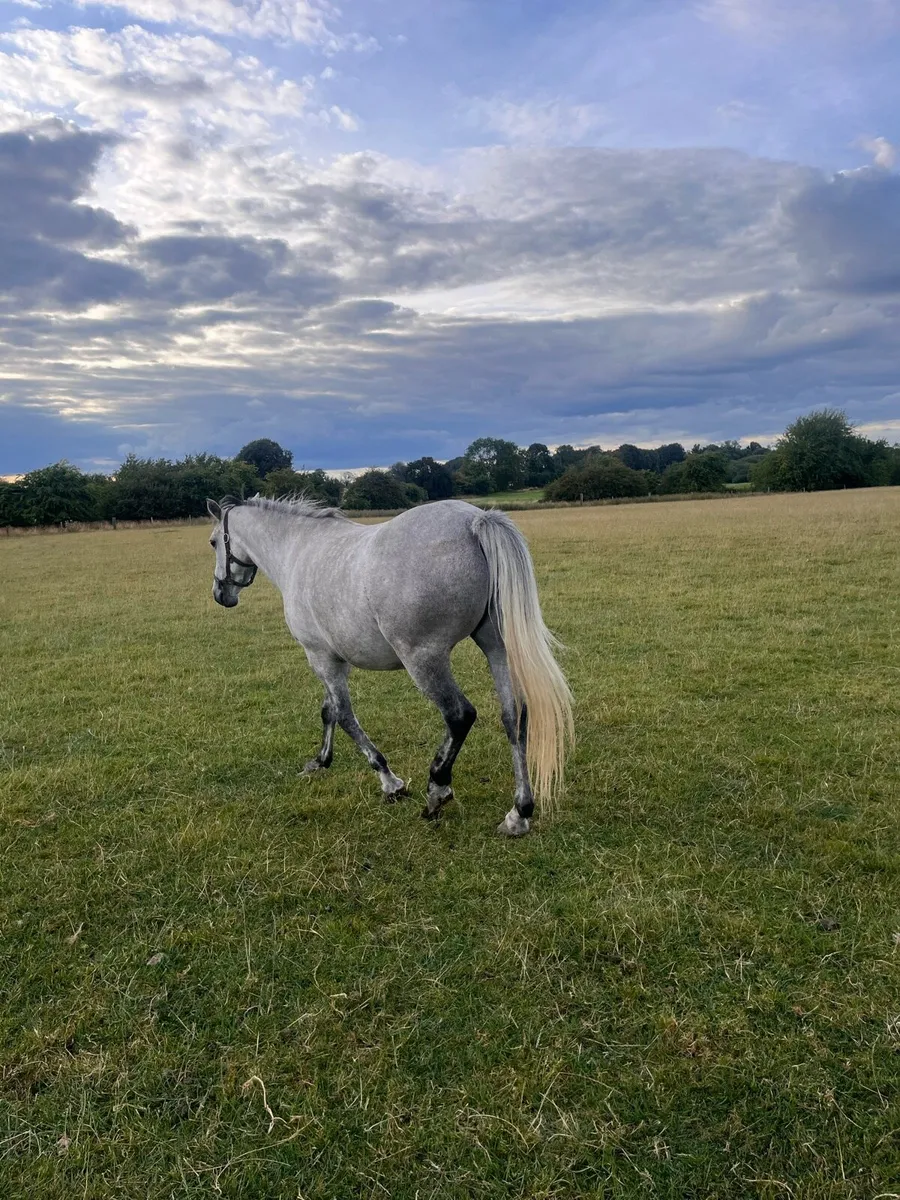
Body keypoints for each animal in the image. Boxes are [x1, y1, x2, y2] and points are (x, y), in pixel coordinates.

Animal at [206, 495, 573, 836]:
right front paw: (321, 761)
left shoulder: (320, 656)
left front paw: (389, 781)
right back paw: (519, 813)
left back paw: (437, 789)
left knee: (459, 716)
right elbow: (329, 711)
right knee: (514, 716)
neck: (298, 550)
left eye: (212, 542)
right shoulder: (334, 660)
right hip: (497, 647)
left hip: (424, 659)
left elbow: (345, 716)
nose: (221, 595)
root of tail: (475, 520)